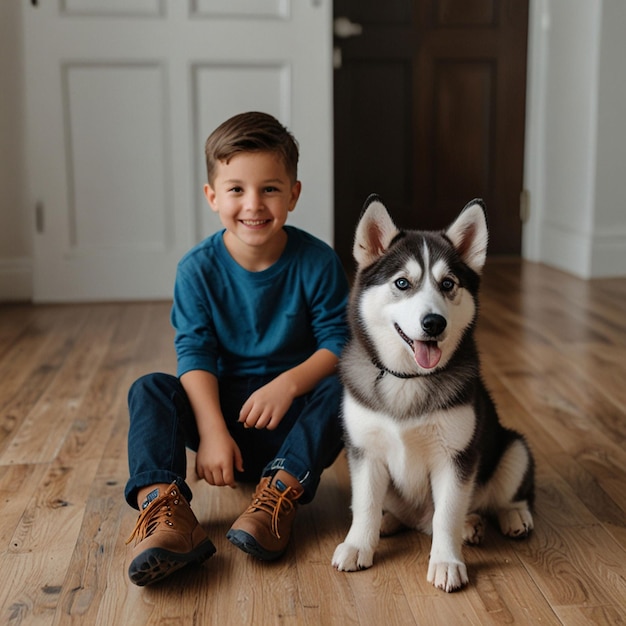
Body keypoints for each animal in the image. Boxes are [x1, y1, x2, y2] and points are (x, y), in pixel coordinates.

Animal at [332, 195, 532, 588]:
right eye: (402, 282)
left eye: (448, 283)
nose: (434, 323)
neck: (407, 379)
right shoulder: (364, 450)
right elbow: (364, 504)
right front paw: (358, 544)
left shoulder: (455, 457)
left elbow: (447, 515)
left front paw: (447, 562)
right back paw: (391, 521)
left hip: (513, 447)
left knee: (502, 494)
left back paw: (508, 516)